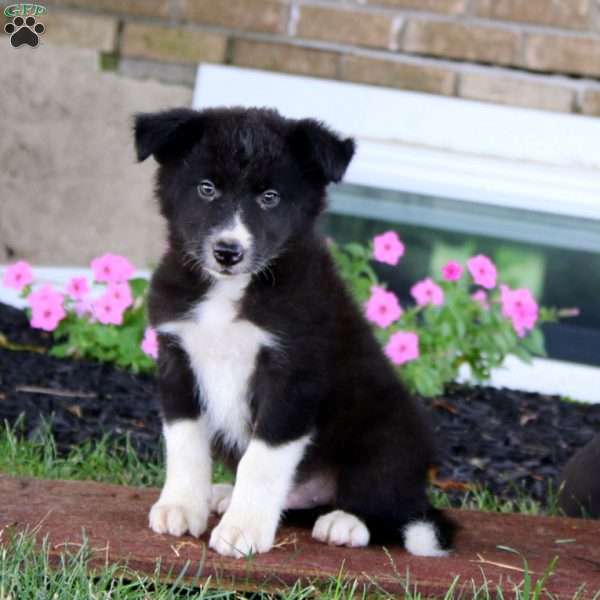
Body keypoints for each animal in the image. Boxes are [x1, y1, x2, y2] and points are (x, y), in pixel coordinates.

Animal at [135, 106, 454, 556]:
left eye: (269, 198)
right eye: (206, 189)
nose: (228, 252)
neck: (232, 290)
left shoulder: (292, 375)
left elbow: (263, 459)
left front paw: (243, 530)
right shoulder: (177, 357)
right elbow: (185, 441)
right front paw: (181, 506)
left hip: (388, 430)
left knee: (389, 505)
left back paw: (346, 522)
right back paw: (227, 496)